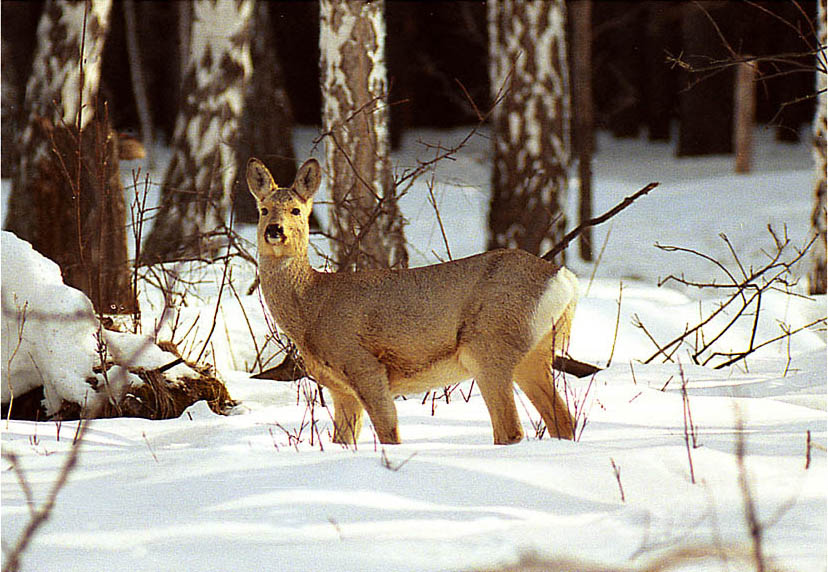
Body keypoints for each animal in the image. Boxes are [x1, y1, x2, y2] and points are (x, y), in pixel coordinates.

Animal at [249, 158, 580, 446]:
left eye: (295, 210)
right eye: (263, 209)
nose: (274, 230)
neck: (313, 305)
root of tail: (564, 278)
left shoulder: (363, 365)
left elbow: (389, 434)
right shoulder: (339, 388)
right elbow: (343, 441)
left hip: (488, 346)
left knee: (510, 429)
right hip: (534, 353)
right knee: (562, 420)